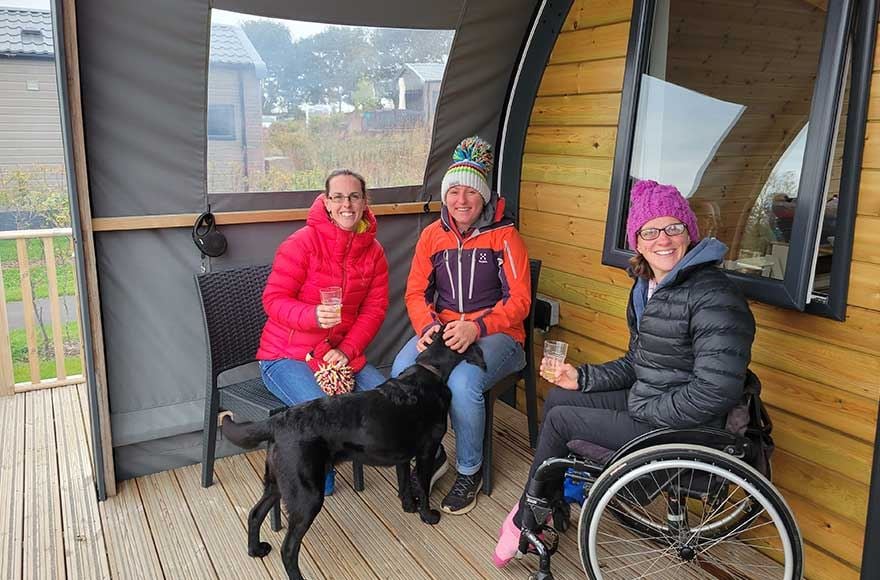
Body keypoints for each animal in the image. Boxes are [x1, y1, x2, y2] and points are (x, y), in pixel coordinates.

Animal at [219, 330, 482, 580]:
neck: (430, 370)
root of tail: (278, 420)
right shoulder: (426, 451)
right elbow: (424, 488)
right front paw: (427, 516)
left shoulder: (403, 456)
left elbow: (406, 483)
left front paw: (409, 507)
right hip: (307, 496)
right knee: (289, 548)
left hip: (277, 484)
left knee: (255, 514)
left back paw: (256, 550)